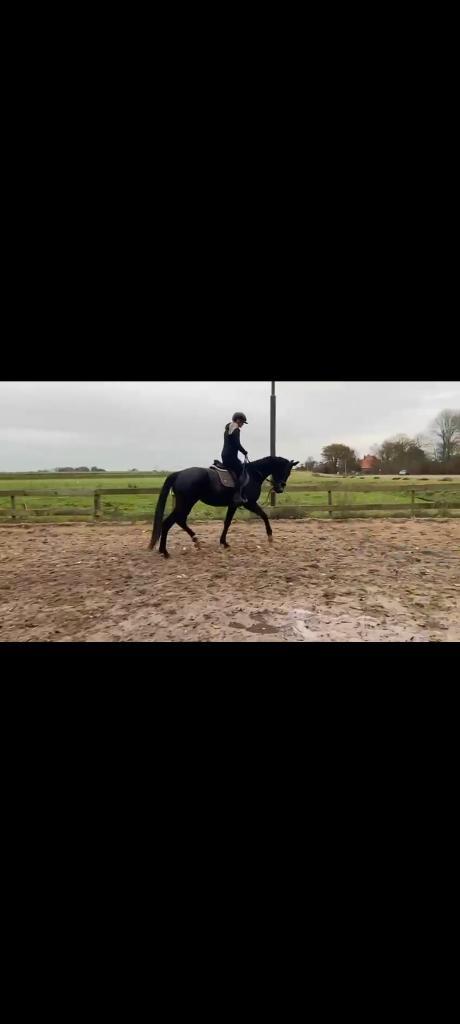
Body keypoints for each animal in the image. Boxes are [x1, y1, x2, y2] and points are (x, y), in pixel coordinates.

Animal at [149, 456, 299, 558]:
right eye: (286, 471)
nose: (279, 489)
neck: (253, 474)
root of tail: (179, 473)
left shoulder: (234, 505)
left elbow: (227, 522)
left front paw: (223, 542)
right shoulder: (248, 503)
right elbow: (263, 515)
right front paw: (270, 537)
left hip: (185, 503)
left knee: (178, 521)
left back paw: (190, 542)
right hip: (186, 503)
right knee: (169, 522)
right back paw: (166, 551)